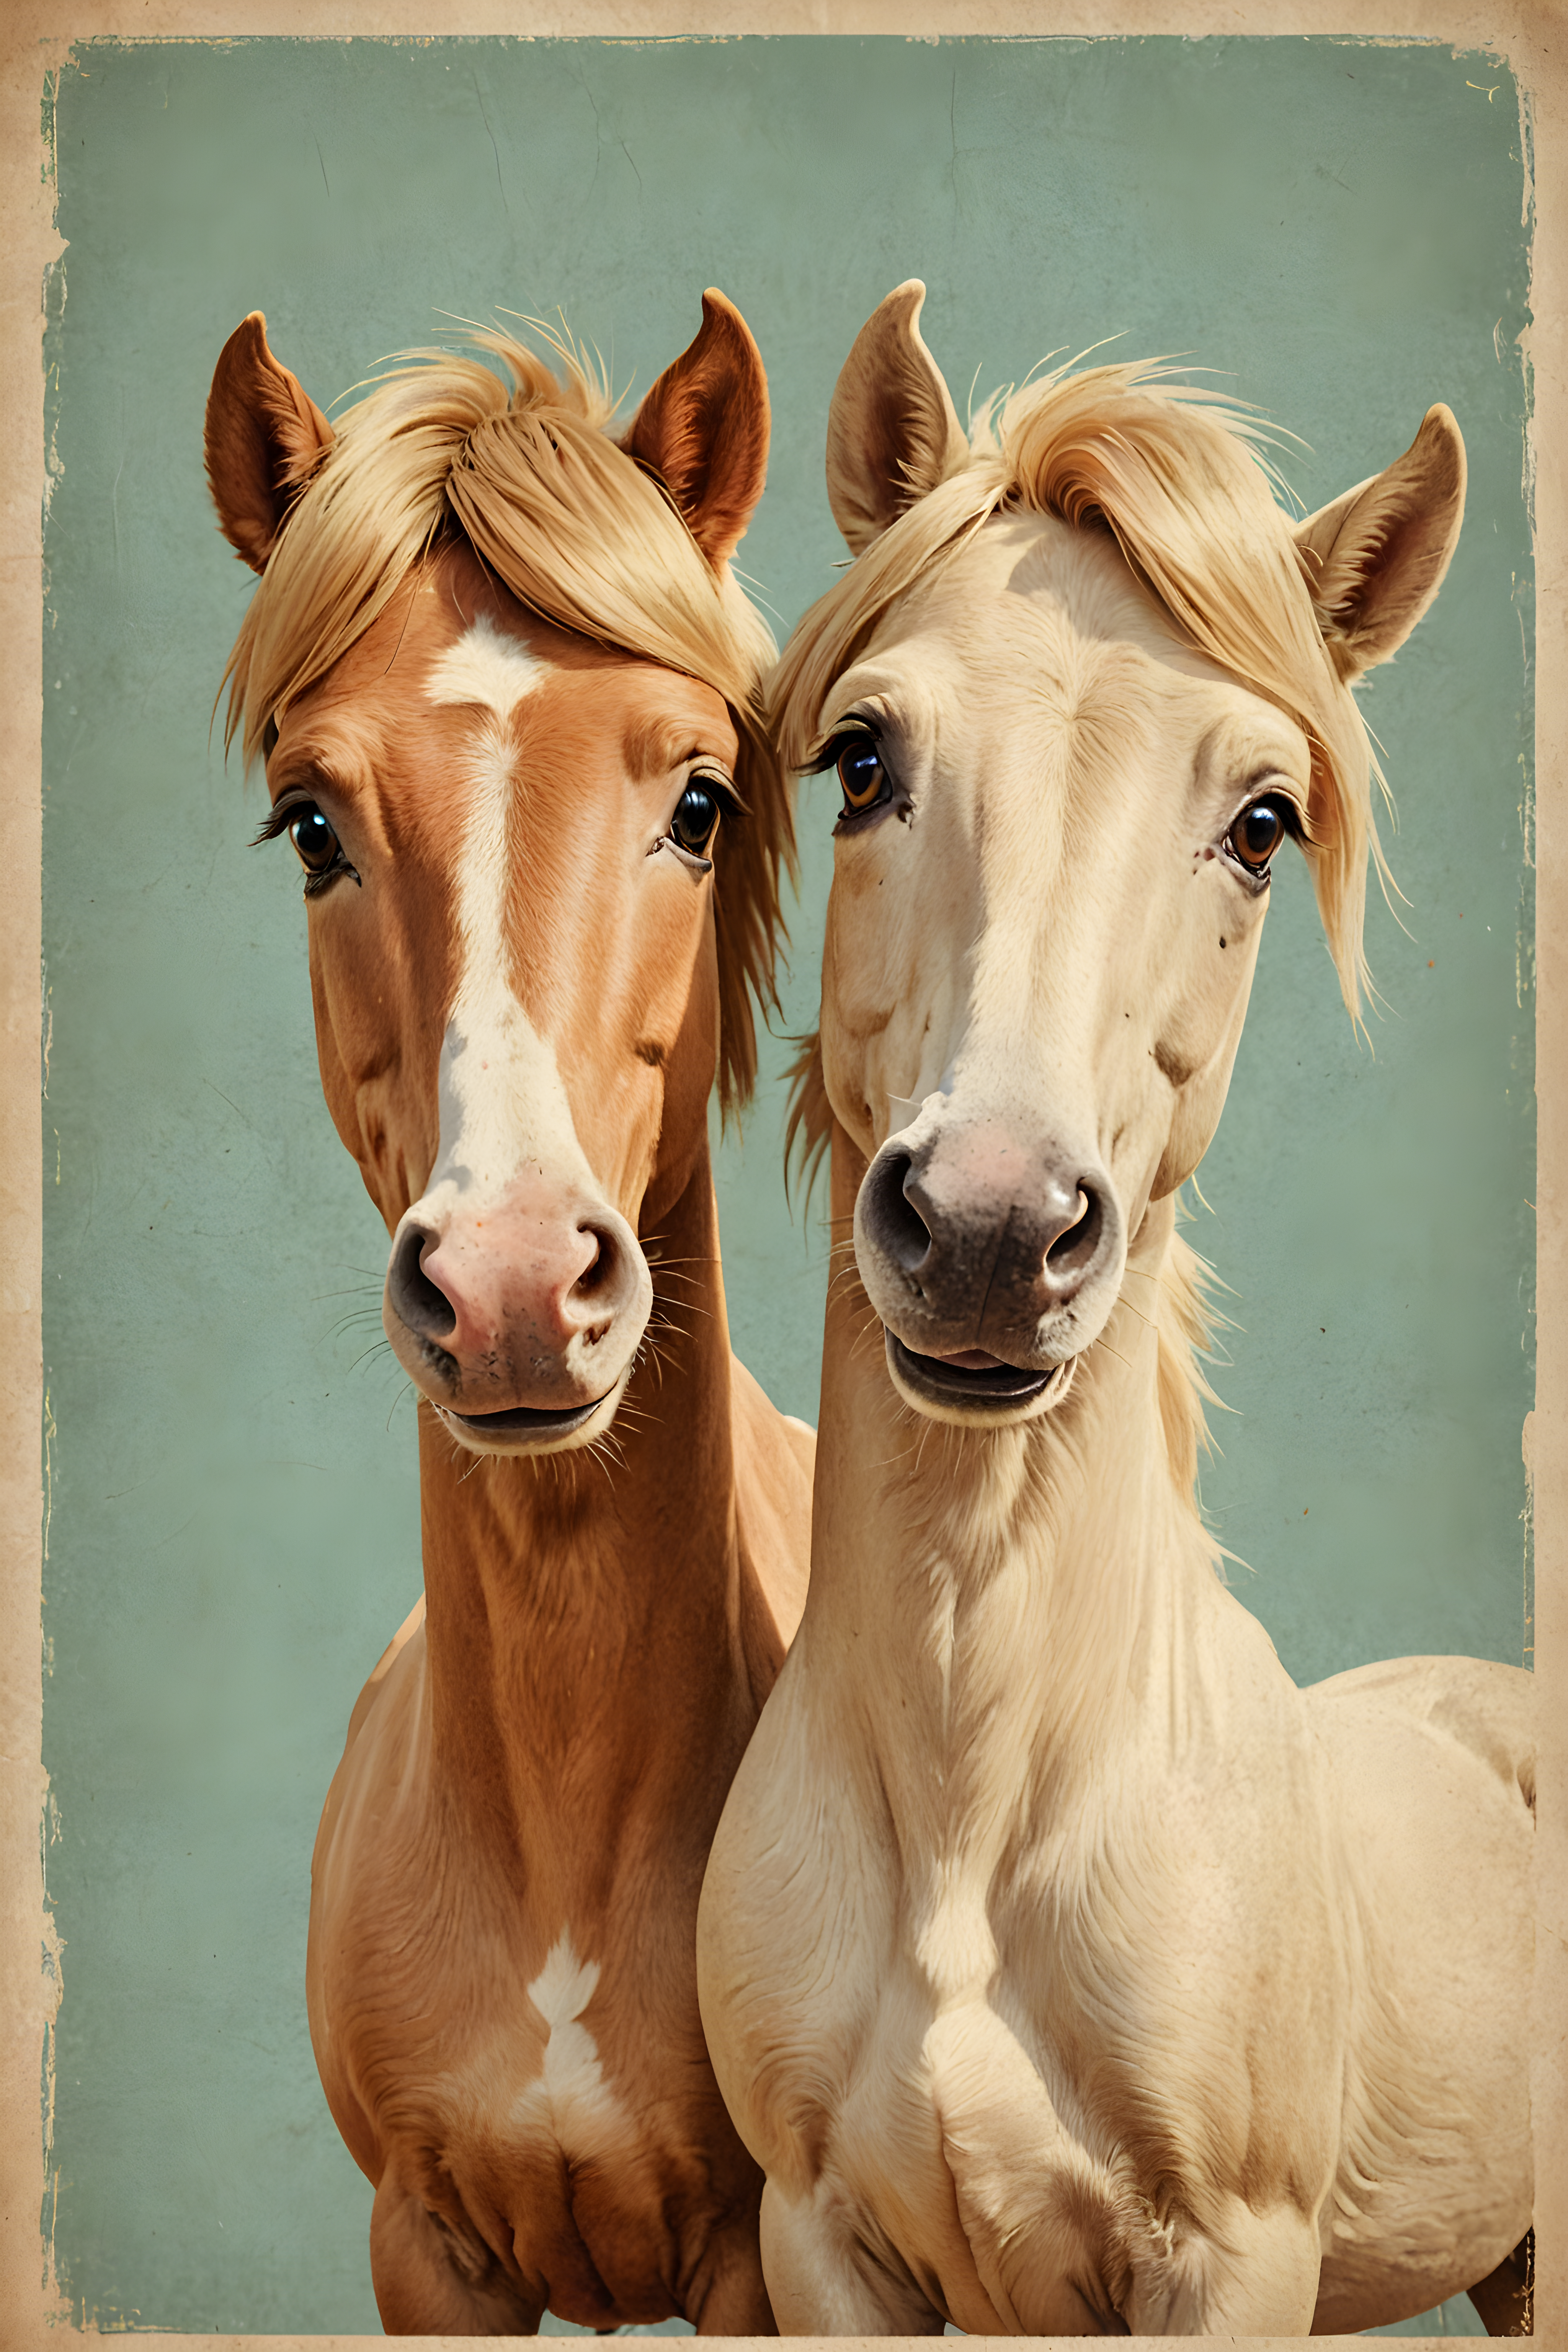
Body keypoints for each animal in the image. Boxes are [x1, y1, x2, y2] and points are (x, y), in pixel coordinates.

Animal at [697, 282, 1534, 2337]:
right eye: (860, 759)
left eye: (1262, 820)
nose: (992, 1231)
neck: (977, 1811)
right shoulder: (815, 2245)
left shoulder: (1232, 2257)